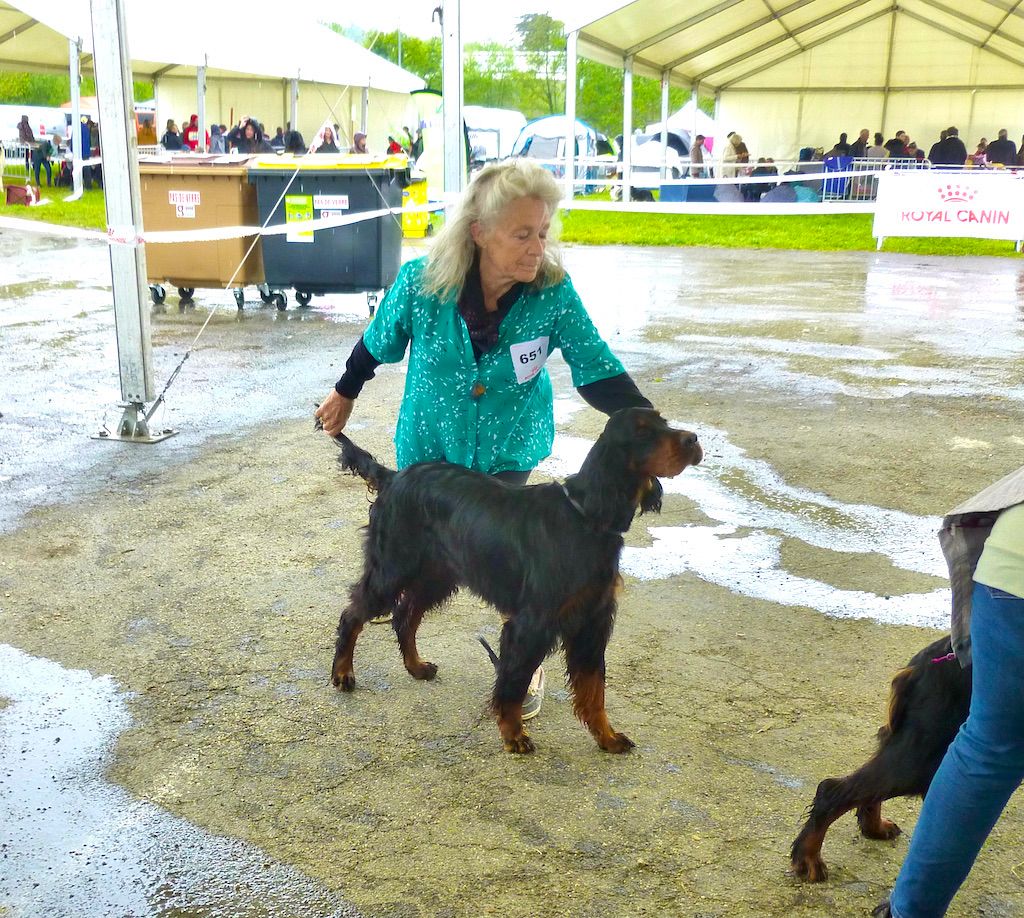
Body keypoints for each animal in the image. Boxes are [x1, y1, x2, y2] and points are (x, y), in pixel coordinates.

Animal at [327, 409, 704, 754]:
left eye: (664, 421)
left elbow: (594, 689)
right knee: (353, 614)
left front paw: (607, 737)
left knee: (405, 615)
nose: (693, 440)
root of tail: (394, 477)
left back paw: (416, 667)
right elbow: (513, 683)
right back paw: (343, 674)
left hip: (437, 574)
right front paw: (513, 735)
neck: (585, 517)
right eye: (641, 431)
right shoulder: (532, 624)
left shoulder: (592, 621)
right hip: (393, 567)